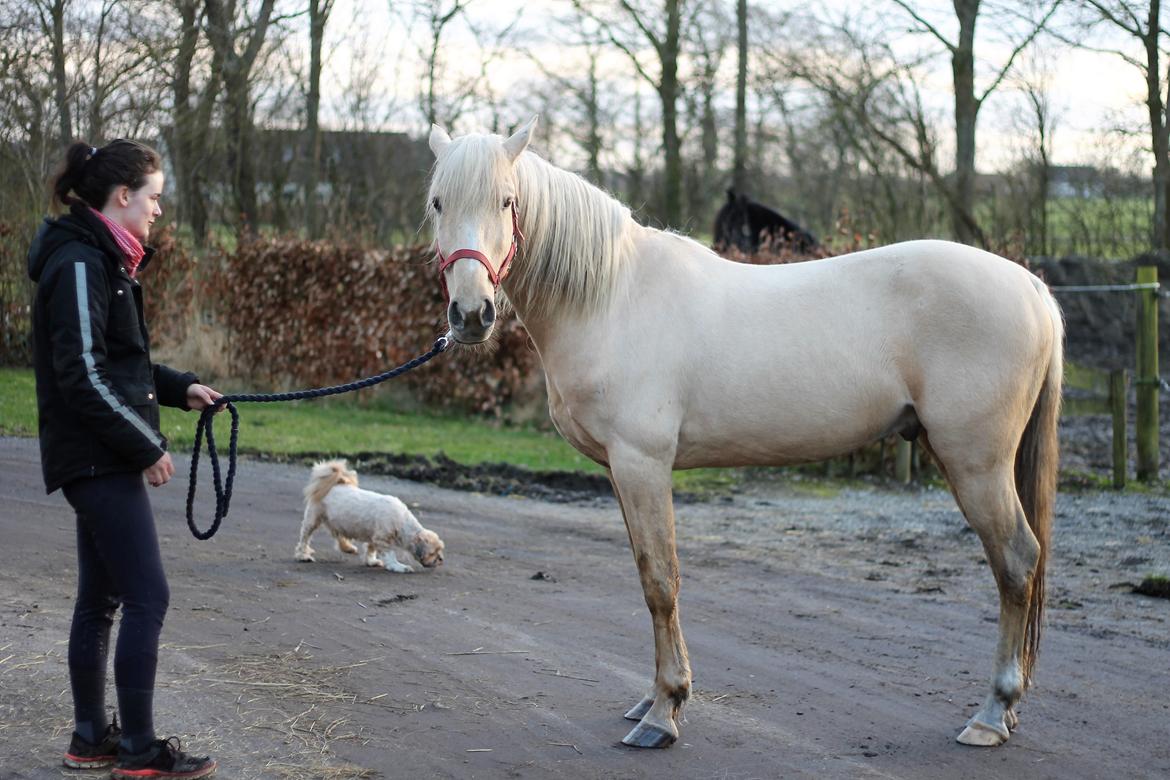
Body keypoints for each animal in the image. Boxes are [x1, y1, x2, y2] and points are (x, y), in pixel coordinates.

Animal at [297, 458, 446, 573]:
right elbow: (390, 555)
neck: (402, 522)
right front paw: (399, 567)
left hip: (339, 521)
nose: (441, 559)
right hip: (313, 519)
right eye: (433, 553)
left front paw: (371, 561)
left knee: (339, 534)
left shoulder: (374, 538)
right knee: (305, 538)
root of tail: (335, 484)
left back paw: (347, 547)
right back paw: (303, 555)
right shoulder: (382, 540)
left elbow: (370, 549)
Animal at [428, 117, 1062, 748]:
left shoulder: (642, 464)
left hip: (977, 464)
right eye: (437, 203)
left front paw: (664, 712)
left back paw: (991, 714)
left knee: (1016, 562)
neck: (612, 297)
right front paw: (651, 699)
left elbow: (660, 581)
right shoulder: (620, 471)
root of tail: (1030, 286)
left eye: (506, 201)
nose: (471, 315)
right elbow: (645, 573)